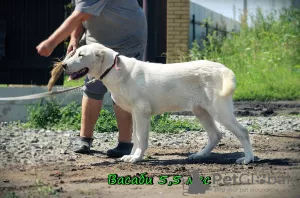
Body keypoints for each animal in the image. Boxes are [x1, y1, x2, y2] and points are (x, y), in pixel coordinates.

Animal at [62, 43, 254, 164]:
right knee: (215, 135)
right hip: (201, 111)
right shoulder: (135, 114)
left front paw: (136, 158)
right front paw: (131, 156)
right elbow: (135, 138)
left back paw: (248, 159)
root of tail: (224, 68)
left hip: (219, 111)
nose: (63, 65)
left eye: (81, 55)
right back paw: (199, 155)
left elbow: (141, 139)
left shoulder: (142, 113)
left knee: (242, 132)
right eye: (74, 52)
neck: (115, 69)